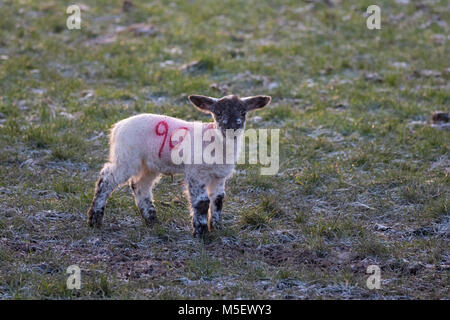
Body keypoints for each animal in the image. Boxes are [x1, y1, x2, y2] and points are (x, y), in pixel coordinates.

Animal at [87, 94, 270, 238]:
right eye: (218, 112)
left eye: (243, 112)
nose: (231, 127)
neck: (217, 143)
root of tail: (117, 126)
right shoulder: (196, 173)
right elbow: (202, 202)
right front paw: (201, 233)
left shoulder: (219, 176)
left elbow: (218, 200)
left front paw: (217, 228)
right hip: (126, 157)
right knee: (107, 178)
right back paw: (95, 219)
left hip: (150, 164)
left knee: (139, 185)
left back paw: (151, 219)